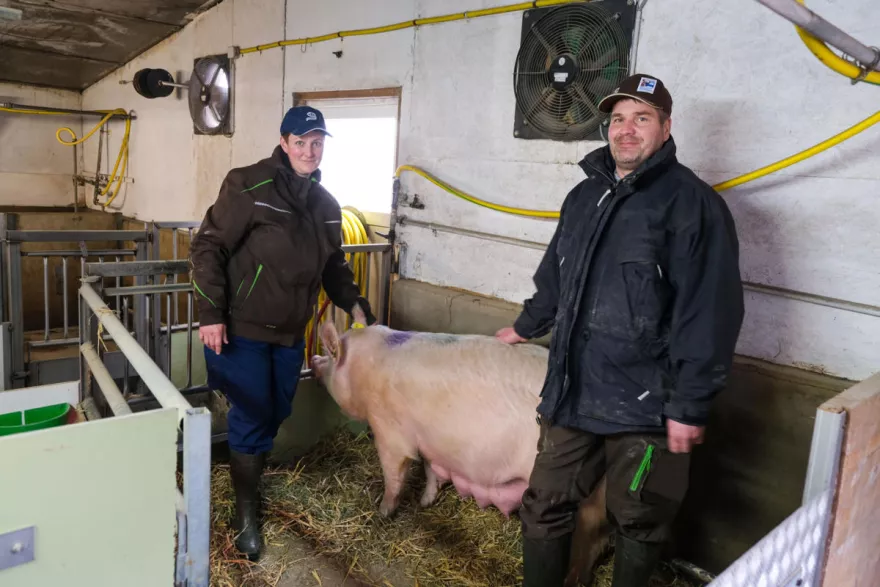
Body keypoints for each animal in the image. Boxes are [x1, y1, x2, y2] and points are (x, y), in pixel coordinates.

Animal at [312, 322, 612, 587]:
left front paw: (382, 512)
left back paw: (571, 579)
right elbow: (430, 468)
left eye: (329, 355)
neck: (361, 372)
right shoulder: (430, 440)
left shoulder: (389, 431)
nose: (313, 358)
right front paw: (425, 502)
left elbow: (394, 474)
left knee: (587, 539)